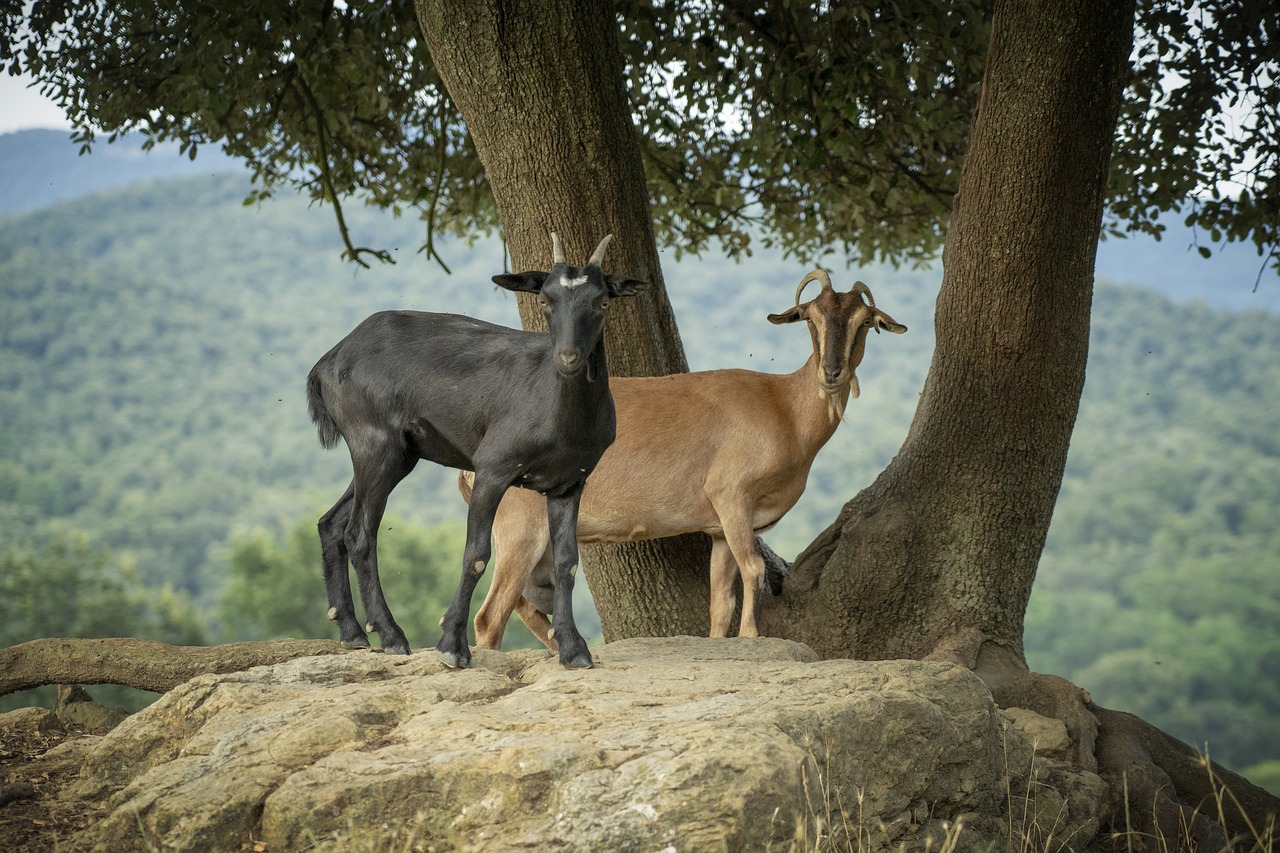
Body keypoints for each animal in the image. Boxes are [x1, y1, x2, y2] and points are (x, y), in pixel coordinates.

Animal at [304, 235, 645, 666]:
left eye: (602, 302)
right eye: (544, 299)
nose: (568, 357)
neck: (554, 407)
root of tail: (326, 363)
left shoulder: (569, 482)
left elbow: (567, 562)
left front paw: (574, 649)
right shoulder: (493, 468)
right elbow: (476, 554)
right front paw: (452, 645)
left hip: (398, 454)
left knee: (331, 523)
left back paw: (352, 632)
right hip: (374, 441)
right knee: (360, 534)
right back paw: (392, 635)